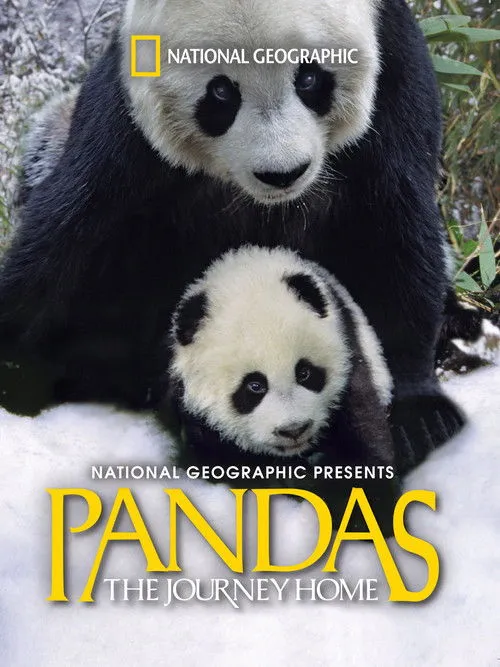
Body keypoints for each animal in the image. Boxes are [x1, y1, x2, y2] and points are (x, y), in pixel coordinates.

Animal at [0, 0, 464, 474]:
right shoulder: (127, 114)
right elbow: (71, 231)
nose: (282, 173)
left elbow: (394, 228)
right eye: (221, 91)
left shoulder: (395, 77)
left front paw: (419, 415)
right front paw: (16, 370)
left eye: (309, 77)